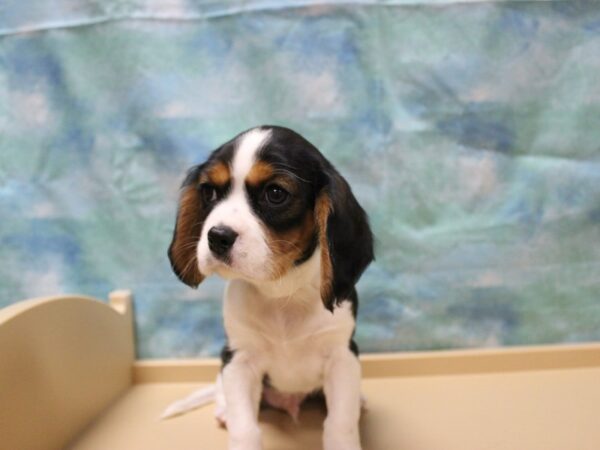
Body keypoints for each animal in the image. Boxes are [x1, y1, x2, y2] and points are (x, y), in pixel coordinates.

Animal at [162, 124, 372, 450]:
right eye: (209, 191)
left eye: (275, 194)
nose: (217, 236)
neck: (281, 291)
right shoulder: (239, 360)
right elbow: (245, 428)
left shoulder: (342, 357)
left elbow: (340, 424)